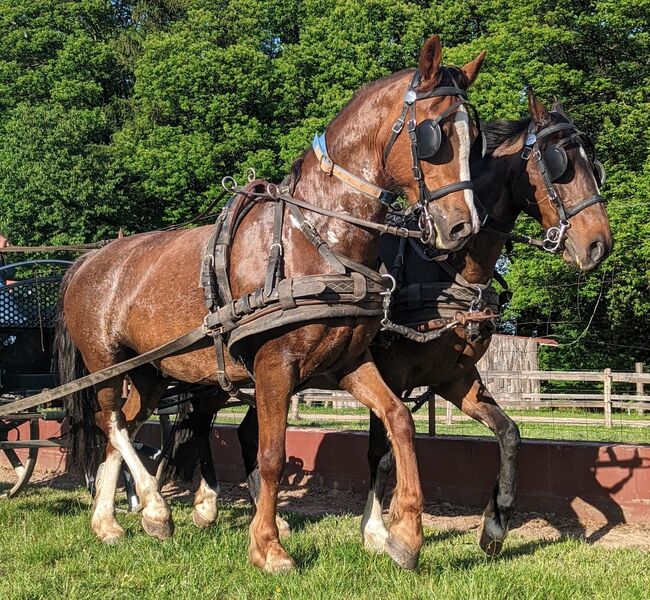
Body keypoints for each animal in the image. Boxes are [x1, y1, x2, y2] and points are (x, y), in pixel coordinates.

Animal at [59, 36, 486, 572]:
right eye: (435, 133)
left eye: (479, 138)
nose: (463, 227)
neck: (318, 238)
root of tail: (89, 259)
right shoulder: (274, 366)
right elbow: (271, 455)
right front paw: (268, 546)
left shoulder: (349, 362)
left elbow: (399, 422)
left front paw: (405, 535)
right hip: (106, 362)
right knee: (112, 421)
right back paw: (155, 509)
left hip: (150, 372)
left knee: (123, 422)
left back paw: (109, 522)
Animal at [220, 91, 612, 556]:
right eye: (559, 164)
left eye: (594, 165)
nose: (599, 245)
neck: (443, 270)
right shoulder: (390, 373)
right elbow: (381, 452)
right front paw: (379, 529)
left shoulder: (454, 378)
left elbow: (510, 434)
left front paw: (495, 526)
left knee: (248, 432)